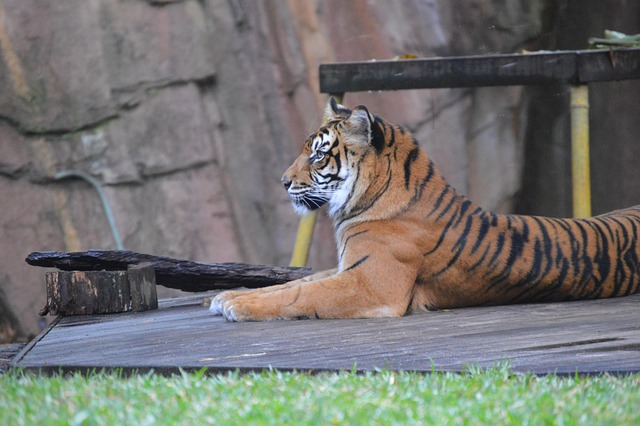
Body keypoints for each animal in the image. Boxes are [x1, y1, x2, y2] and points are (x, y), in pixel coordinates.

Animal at [210, 98, 640, 321]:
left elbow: (301, 294)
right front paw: (223, 295)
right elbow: (291, 283)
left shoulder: (372, 282)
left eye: (317, 154)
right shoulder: (348, 265)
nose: (282, 182)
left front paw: (237, 304)